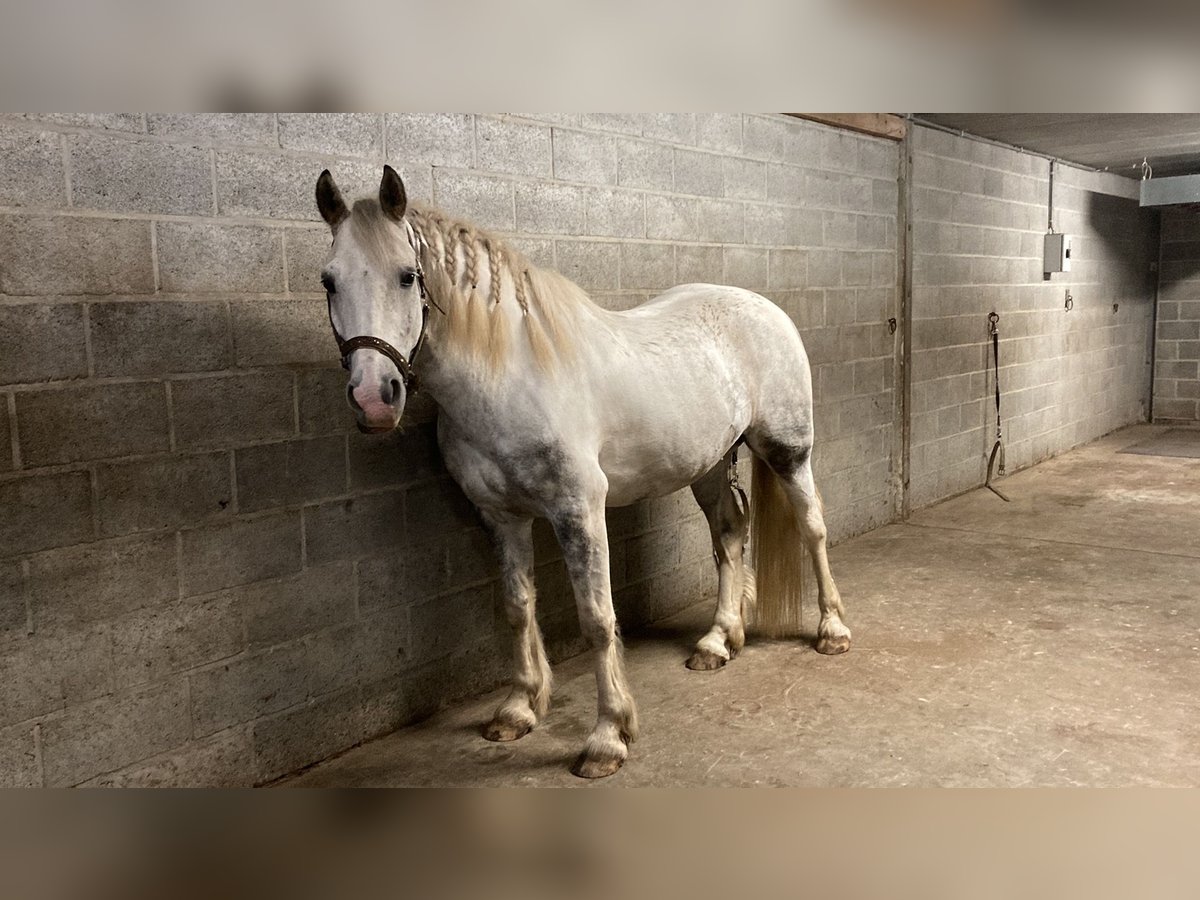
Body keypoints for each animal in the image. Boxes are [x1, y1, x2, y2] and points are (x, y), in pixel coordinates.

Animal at [314, 165, 849, 777]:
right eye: (329, 281)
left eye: (407, 277)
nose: (374, 399)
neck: (509, 377)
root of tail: (765, 307)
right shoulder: (500, 516)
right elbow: (518, 607)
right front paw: (519, 709)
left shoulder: (578, 509)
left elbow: (597, 617)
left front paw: (607, 737)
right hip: (710, 464)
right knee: (730, 537)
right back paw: (718, 641)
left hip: (788, 451)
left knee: (812, 528)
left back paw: (832, 630)